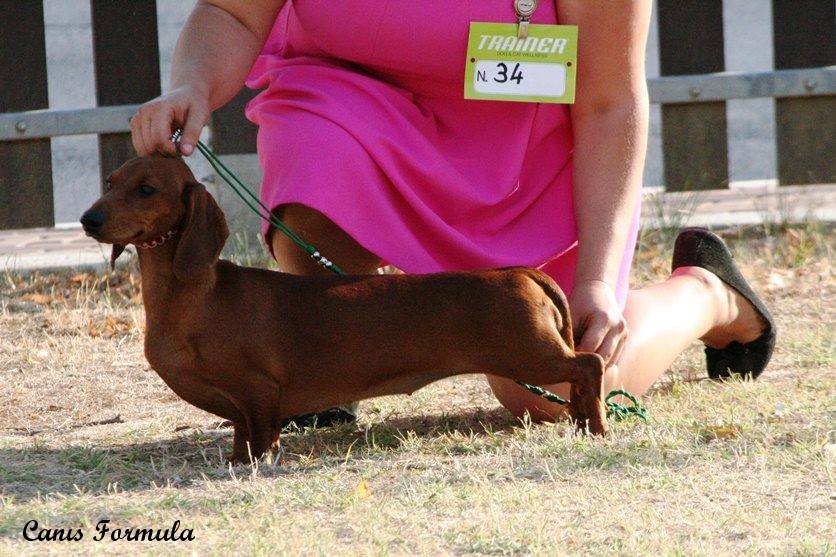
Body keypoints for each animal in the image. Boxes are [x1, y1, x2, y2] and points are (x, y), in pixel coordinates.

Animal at [81, 154, 608, 462]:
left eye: (146, 189)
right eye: (109, 180)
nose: (89, 219)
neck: (193, 295)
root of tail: (521, 273)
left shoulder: (257, 392)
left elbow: (260, 434)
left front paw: (256, 464)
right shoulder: (240, 406)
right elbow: (239, 436)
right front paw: (235, 463)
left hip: (529, 355)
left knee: (590, 363)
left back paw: (598, 425)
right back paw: (583, 422)